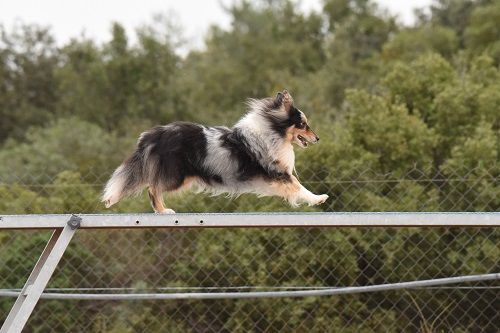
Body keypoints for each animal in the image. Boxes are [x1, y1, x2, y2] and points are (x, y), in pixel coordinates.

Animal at [101, 89, 328, 211]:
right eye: (303, 124)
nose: (318, 138)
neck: (272, 131)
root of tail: (154, 135)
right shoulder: (279, 174)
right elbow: (299, 187)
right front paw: (318, 198)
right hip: (175, 176)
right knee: (152, 188)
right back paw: (165, 212)